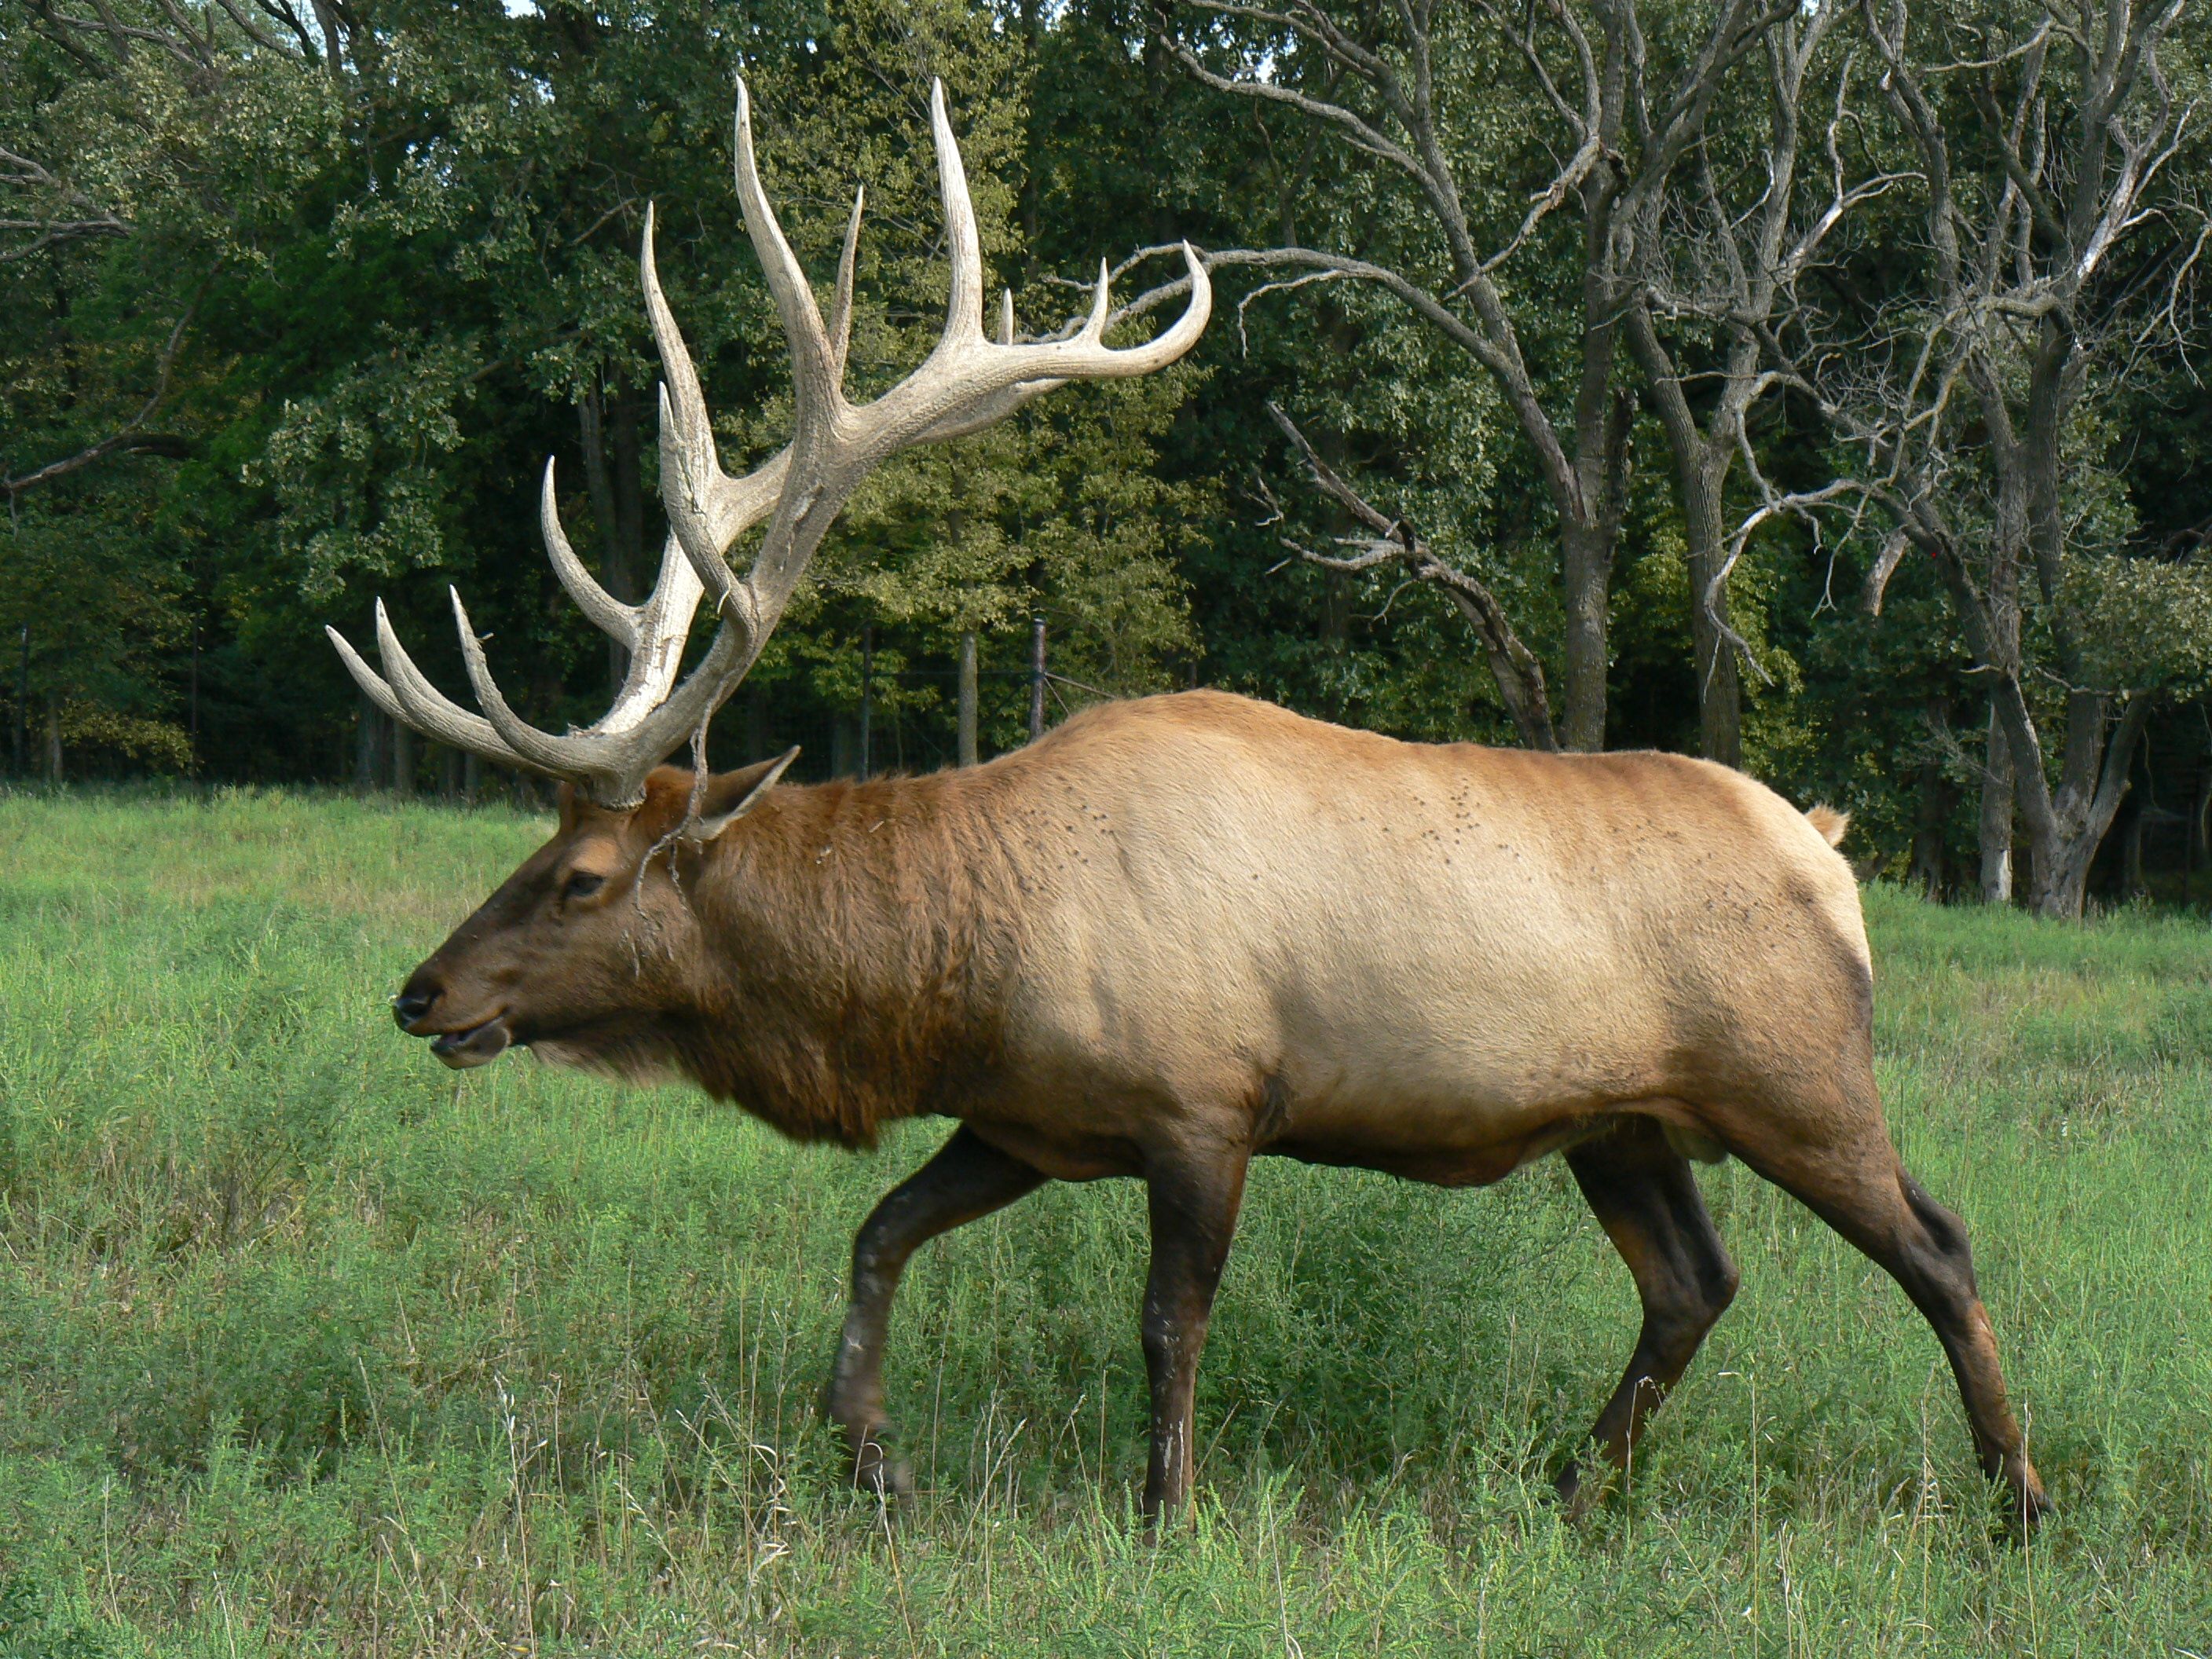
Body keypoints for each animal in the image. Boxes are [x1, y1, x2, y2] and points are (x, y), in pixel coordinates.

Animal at [330, 83, 2050, 1532]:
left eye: (581, 875)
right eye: (536, 850)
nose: (422, 994)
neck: (950, 970)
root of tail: (1829, 853)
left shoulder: (1203, 1102)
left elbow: (1166, 1325)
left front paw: (1165, 1510)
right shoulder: (1021, 1113)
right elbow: (879, 1230)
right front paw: (866, 1452)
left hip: (1796, 1076)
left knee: (1939, 1243)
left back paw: (2017, 1500)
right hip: (1623, 1123)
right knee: (1695, 1281)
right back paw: (1573, 1490)